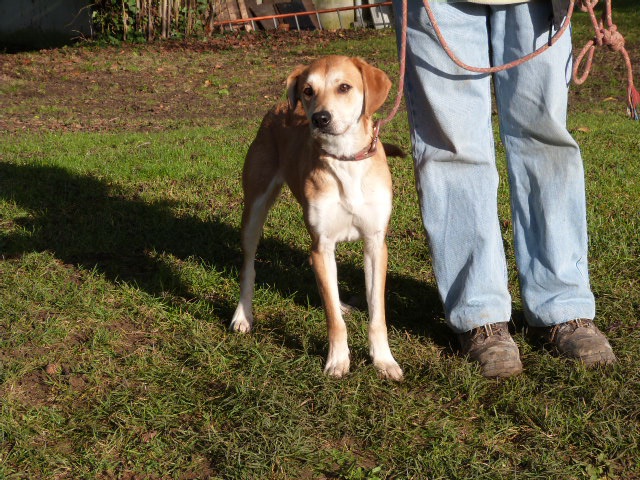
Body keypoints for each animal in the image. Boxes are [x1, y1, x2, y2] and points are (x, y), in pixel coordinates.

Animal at [229, 54, 400, 380]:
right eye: (308, 90)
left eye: (344, 87)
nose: (320, 119)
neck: (345, 161)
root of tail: (278, 106)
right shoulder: (321, 243)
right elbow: (332, 319)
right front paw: (338, 360)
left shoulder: (375, 244)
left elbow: (377, 314)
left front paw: (384, 360)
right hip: (254, 211)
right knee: (248, 267)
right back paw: (243, 315)